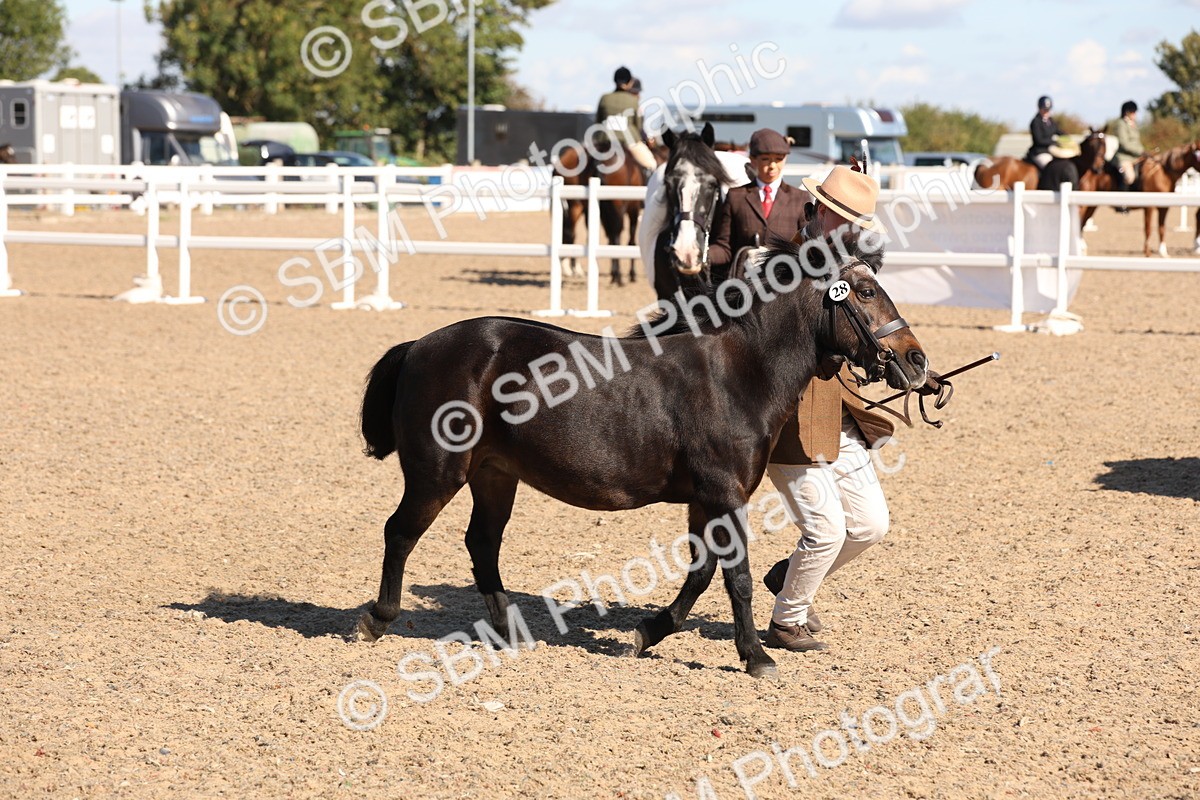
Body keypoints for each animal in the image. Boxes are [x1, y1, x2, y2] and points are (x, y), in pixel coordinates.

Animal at [354, 233, 929, 678]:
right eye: (867, 291)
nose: (916, 360)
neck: (737, 372)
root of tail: (419, 346)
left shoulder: (705, 501)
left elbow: (701, 573)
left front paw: (648, 632)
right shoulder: (725, 494)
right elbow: (738, 578)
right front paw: (755, 656)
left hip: (494, 476)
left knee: (482, 544)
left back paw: (508, 630)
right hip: (437, 473)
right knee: (400, 532)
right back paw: (377, 619)